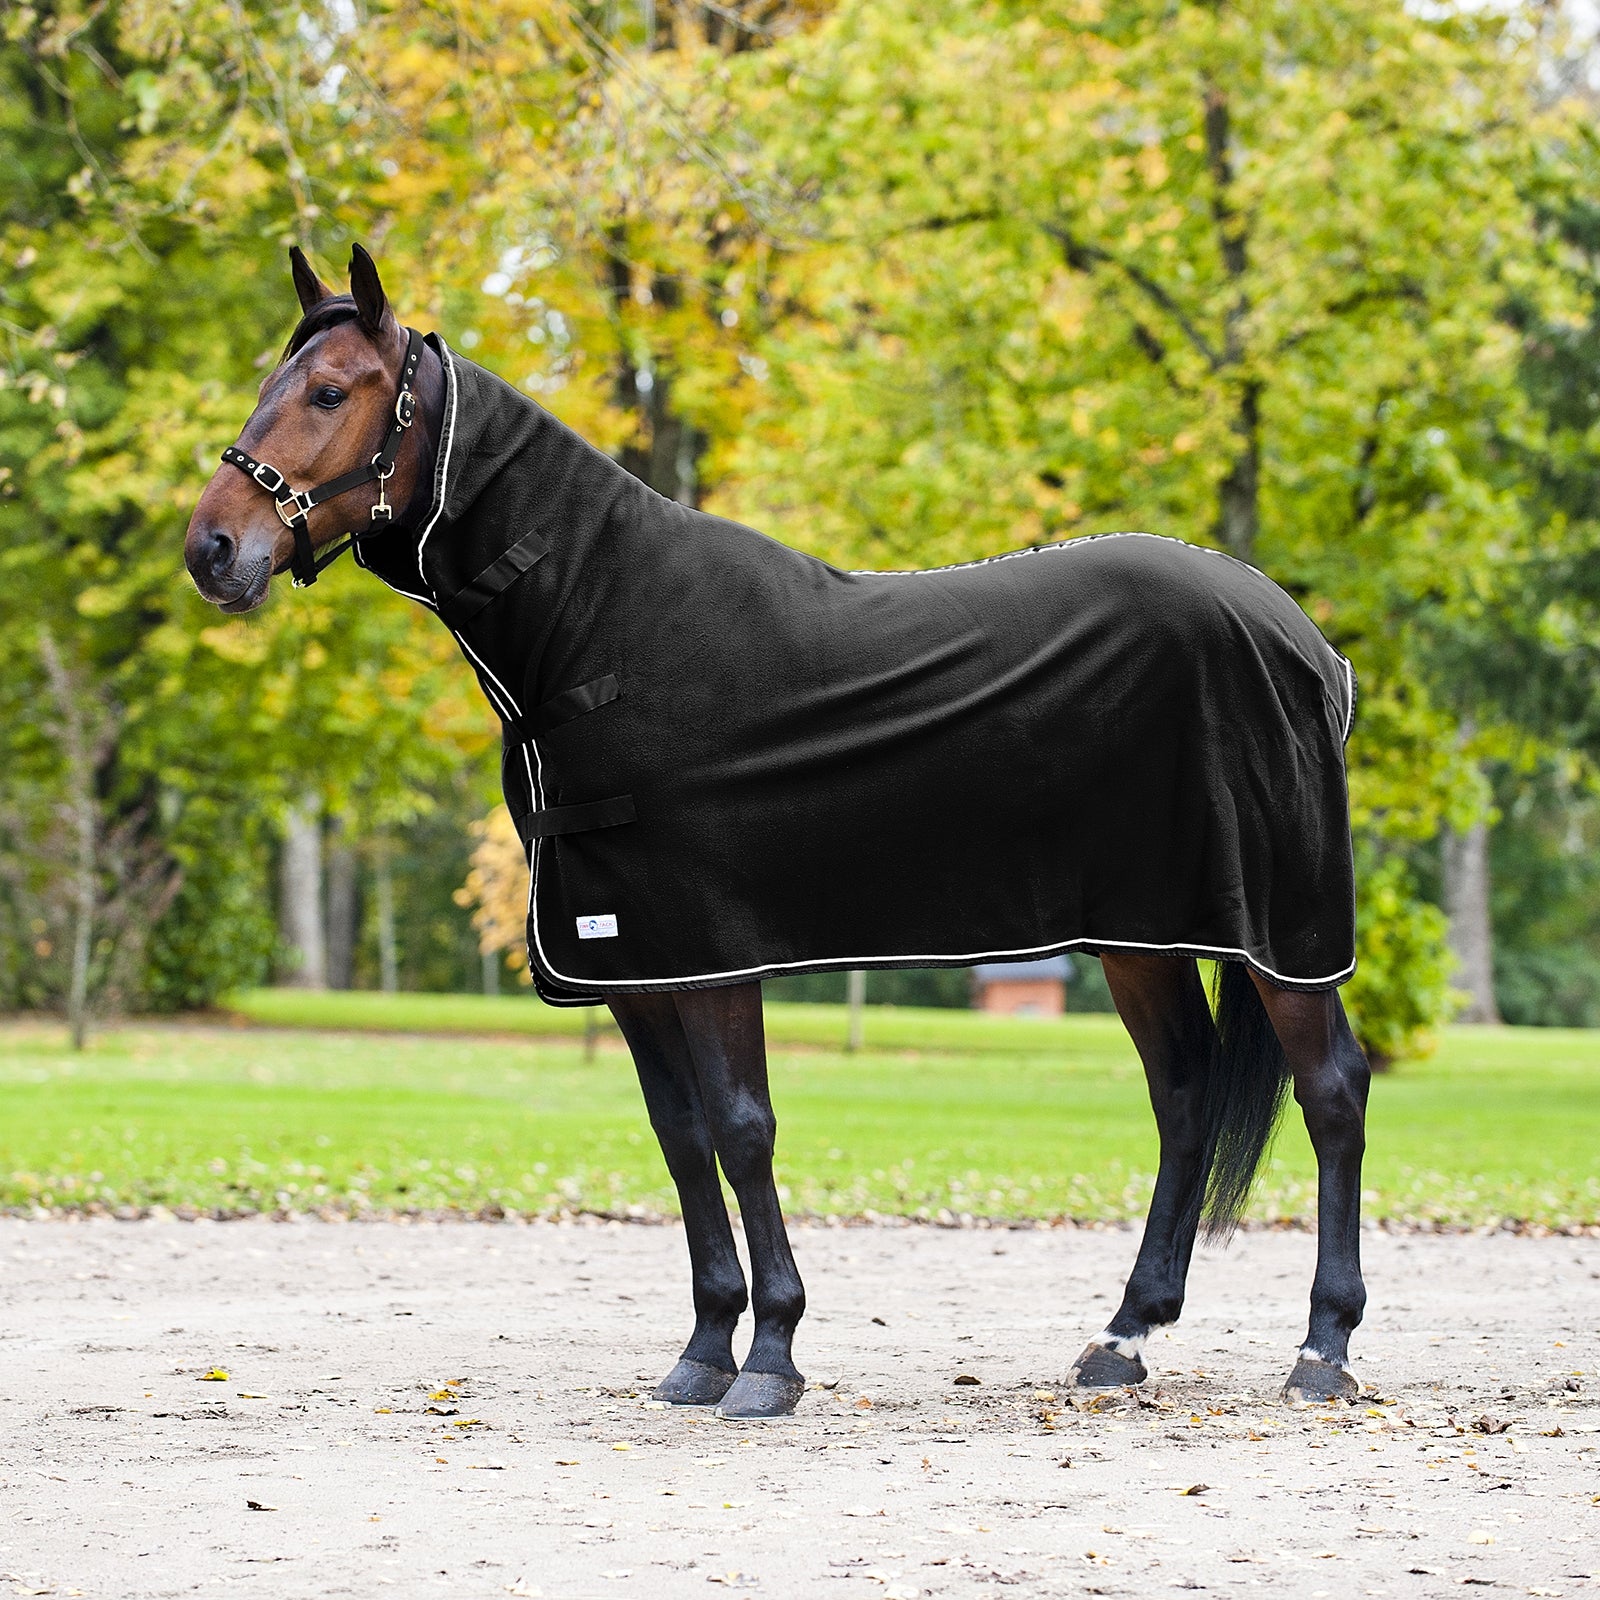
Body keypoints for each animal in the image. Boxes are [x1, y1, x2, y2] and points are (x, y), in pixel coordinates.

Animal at [185, 245, 1371, 1420]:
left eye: (330, 392)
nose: (213, 548)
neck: (604, 624)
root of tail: (1306, 642)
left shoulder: (716, 956)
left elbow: (742, 1129)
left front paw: (771, 1357)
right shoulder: (634, 962)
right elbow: (680, 1138)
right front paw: (704, 1347)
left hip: (1283, 937)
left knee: (1332, 1091)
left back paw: (1322, 1347)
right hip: (1140, 936)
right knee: (1183, 1098)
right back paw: (1123, 1336)